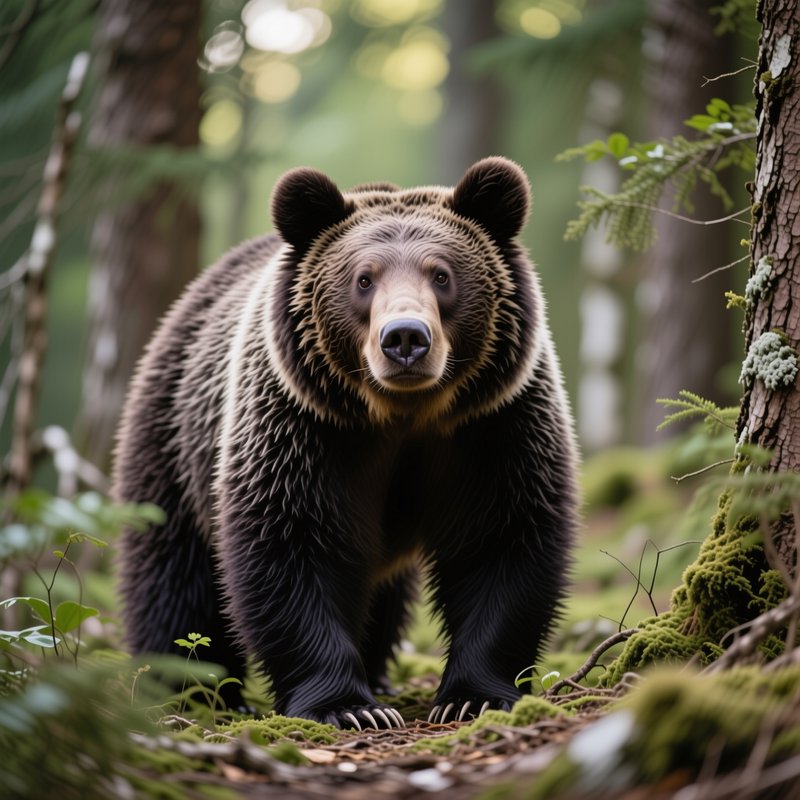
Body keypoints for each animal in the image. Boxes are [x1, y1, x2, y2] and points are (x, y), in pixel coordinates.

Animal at [113, 156, 579, 730]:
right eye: (363, 278)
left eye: (442, 274)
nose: (405, 338)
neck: (403, 415)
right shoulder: (303, 430)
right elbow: (291, 549)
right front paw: (349, 708)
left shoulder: (492, 426)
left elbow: (501, 542)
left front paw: (473, 696)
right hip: (175, 438)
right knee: (176, 578)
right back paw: (189, 691)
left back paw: (376, 671)